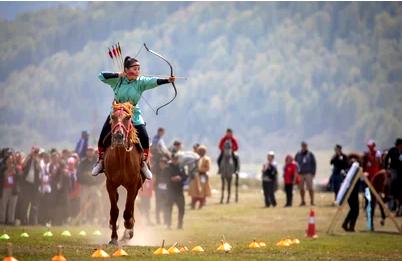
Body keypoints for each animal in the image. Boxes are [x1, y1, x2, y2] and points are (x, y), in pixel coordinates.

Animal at [103, 101, 143, 244]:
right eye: (113, 117)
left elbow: (127, 211)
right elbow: (114, 211)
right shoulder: (110, 184)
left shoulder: (132, 185)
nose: (118, 136)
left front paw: (129, 226)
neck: (121, 158)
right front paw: (113, 238)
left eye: (128, 117)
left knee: (131, 207)